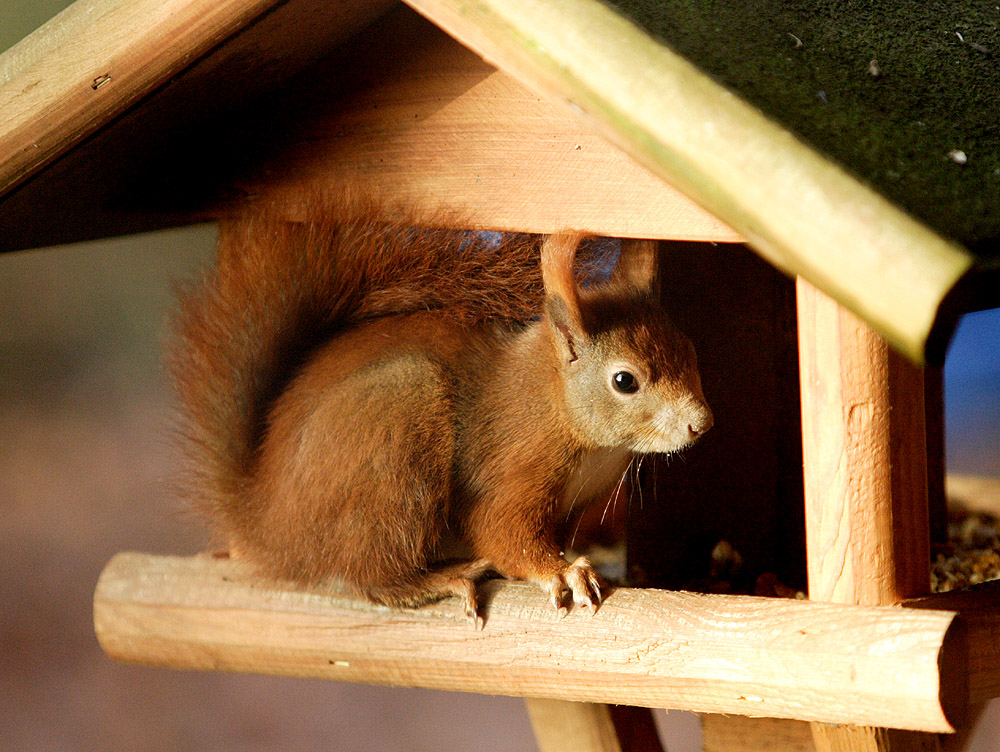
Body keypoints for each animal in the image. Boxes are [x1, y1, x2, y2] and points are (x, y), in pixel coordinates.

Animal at [174, 194, 712, 624]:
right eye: (625, 381)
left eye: (689, 348)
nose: (701, 423)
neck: (562, 409)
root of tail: (262, 520)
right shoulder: (514, 465)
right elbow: (502, 533)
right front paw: (564, 572)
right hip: (399, 425)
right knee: (371, 575)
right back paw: (440, 578)